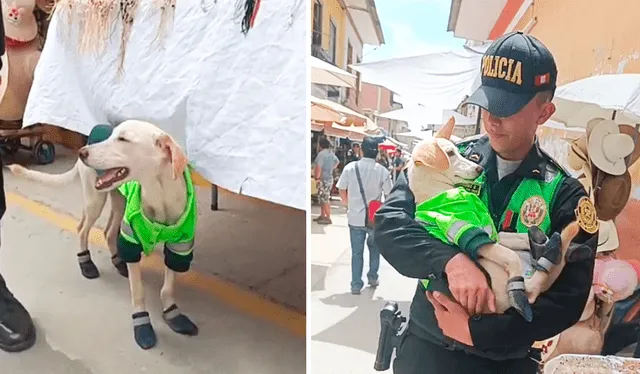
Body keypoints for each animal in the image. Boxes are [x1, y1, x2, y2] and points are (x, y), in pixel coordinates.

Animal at [6, 121, 198, 350]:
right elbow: (138, 291)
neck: (158, 194)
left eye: (123, 139)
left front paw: (172, 314)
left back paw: (118, 261)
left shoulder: (180, 245)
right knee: (82, 228)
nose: (81, 153)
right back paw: (86, 263)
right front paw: (142, 325)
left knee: (108, 232)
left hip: (119, 200)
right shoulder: (131, 238)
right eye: (113, 135)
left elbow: (168, 288)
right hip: (95, 200)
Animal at [408, 117, 584, 322]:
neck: (442, 192)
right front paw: (517, 285)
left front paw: (541, 239)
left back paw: (558, 247)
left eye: (455, 151)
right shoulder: (476, 238)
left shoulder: (494, 234)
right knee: (534, 281)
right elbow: (512, 256)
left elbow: (518, 237)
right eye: (450, 153)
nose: (480, 168)